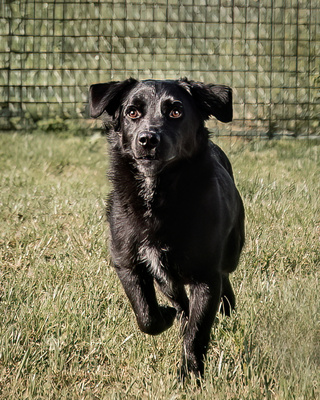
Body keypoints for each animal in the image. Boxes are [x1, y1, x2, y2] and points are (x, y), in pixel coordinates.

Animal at [90, 77, 245, 378]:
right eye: (132, 112)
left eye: (175, 112)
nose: (148, 139)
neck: (157, 193)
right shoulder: (128, 263)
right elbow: (147, 316)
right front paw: (166, 316)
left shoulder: (205, 276)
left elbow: (197, 332)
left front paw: (190, 375)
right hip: (166, 278)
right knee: (180, 300)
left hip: (230, 252)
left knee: (224, 278)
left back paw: (226, 308)